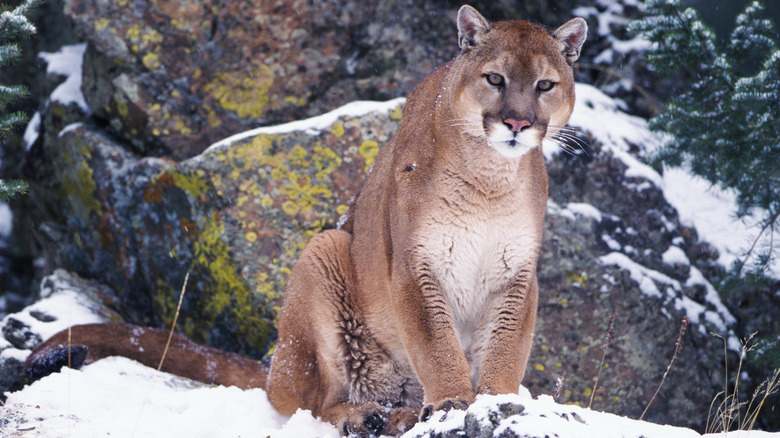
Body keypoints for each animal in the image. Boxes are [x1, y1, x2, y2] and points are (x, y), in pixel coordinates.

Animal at [25, 5, 584, 436]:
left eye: (545, 84)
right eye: (495, 78)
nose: (517, 122)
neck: (490, 179)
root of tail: (276, 368)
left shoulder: (516, 273)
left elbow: (506, 346)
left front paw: (498, 401)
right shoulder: (415, 265)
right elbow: (435, 342)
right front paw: (452, 403)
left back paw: (400, 412)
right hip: (323, 253)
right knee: (310, 402)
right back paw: (369, 416)